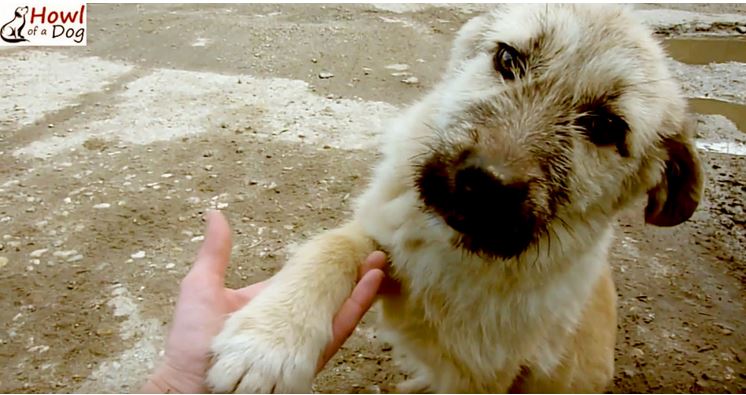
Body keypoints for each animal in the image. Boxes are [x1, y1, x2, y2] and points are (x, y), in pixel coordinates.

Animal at [206, 4, 700, 394]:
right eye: (508, 58)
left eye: (605, 127)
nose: (485, 182)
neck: (456, 255)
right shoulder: (383, 237)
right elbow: (329, 247)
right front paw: (267, 342)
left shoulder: (482, 375)